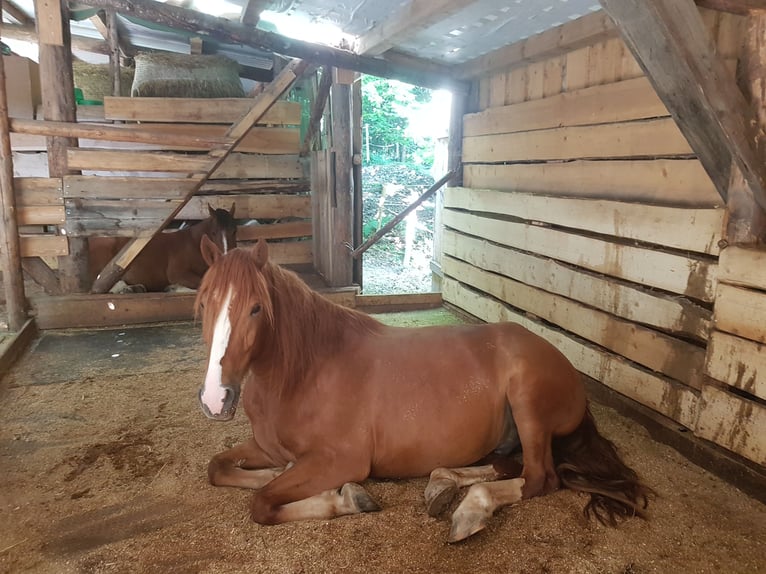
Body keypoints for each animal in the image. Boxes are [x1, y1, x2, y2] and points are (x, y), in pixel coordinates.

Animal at [192, 236, 656, 544]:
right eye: (204, 301)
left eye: (256, 308)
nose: (216, 399)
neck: (307, 371)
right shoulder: (266, 447)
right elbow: (219, 468)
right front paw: (275, 474)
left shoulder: (339, 461)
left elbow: (262, 504)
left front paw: (344, 500)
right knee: (508, 465)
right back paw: (443, 485)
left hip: (528, 408)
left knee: (541, 477)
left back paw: (470, 510)